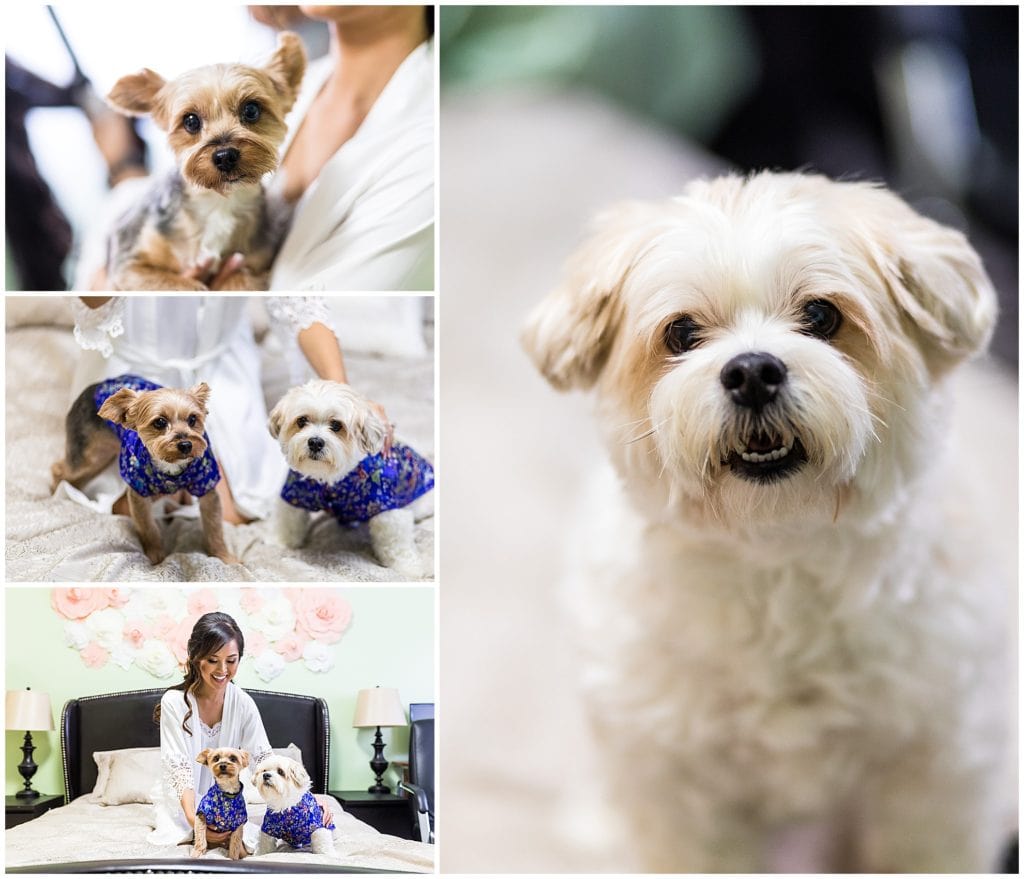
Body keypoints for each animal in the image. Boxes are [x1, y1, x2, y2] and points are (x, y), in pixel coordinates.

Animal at [53, 372, 235, 565]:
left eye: (193, 419)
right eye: (160, 422)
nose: (186, 445)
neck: (171, 466)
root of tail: (98, 385)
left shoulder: (206, 484)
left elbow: (214, 526)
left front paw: (224, 557)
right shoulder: (138, 492)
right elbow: (148, 527)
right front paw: (156, 557)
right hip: (88, 456)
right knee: (59, 470)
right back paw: (59, 494)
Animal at [104, 33, 303, 290]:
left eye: (251, 110)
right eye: (190, 121)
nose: (225, 156)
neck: (219, 203)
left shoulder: (255, 264)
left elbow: (238, 281)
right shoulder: (127, 264)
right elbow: (179, 285)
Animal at [268, 379, 432, 573]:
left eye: (336, 425)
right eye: (302, 421)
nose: (315, 442)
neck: (332, 479)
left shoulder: (385, 505)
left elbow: (396, 542)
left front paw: (409, 567)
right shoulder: (295, 493)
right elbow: (289, 519)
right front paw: (282, 541)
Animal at [524, 171, 1011, 868]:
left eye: (822, 315)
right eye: (681, 333)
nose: (753, 370)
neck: (777, 552)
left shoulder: (935, 770)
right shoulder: (679, 787)